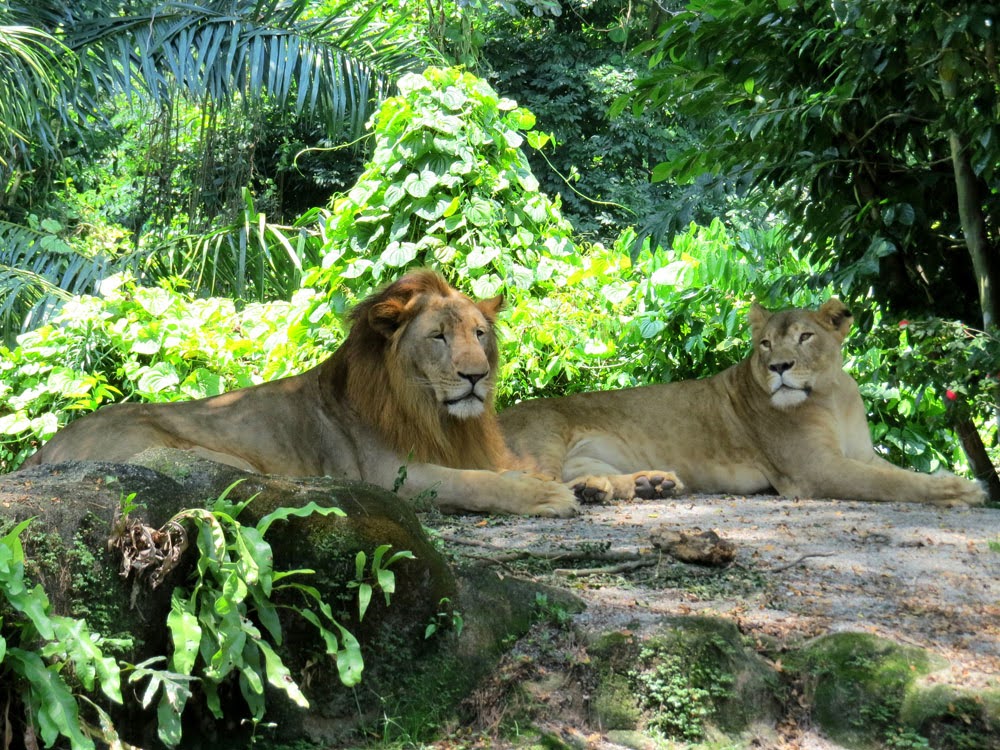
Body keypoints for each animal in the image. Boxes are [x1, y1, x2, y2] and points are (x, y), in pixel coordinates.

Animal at [19, 274, 580, 520]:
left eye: (479, 334)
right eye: (438, 337)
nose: (476, 376)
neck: (434, 415)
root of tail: (46, 447)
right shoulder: (391, 476)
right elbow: (473, 483)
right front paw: (545, 497)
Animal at [504, 300, 988, 512]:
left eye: (805, 337)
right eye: (766, 344)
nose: (779, 366)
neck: (830, 395)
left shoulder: (860, 456)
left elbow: (898, 472)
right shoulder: (815, 471)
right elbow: (893, 483)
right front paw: (960, 491)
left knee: (581, 479)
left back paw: (643, 485)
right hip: (541, 443)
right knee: (530, 481)